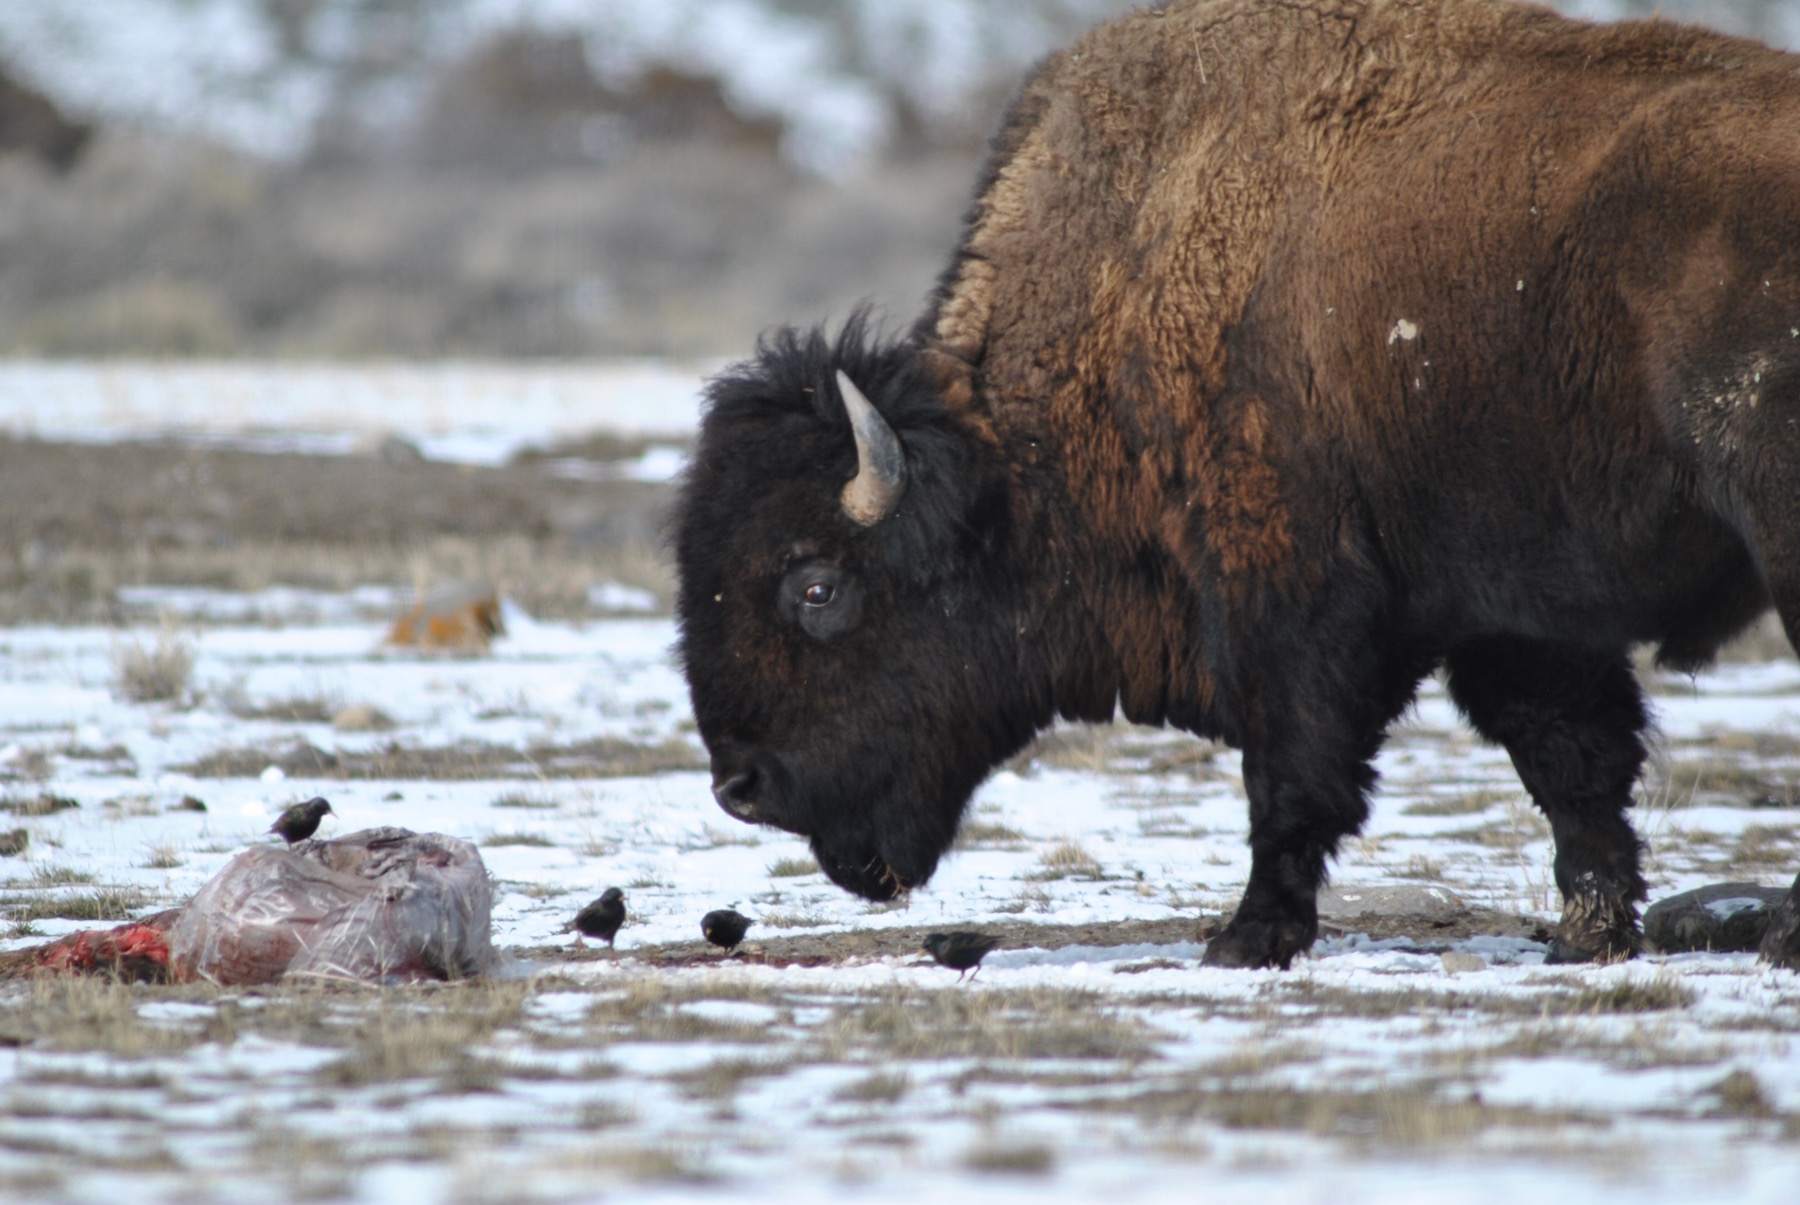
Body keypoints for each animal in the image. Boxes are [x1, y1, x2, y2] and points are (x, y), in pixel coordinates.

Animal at [673, 0, 1800, 965]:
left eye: (817, 585)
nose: (742, 786)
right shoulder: (1515, 611)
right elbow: (1573, 762)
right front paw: (1588, 932)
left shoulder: (1285, 591)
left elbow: (1294, 773)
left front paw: (1247, 936)